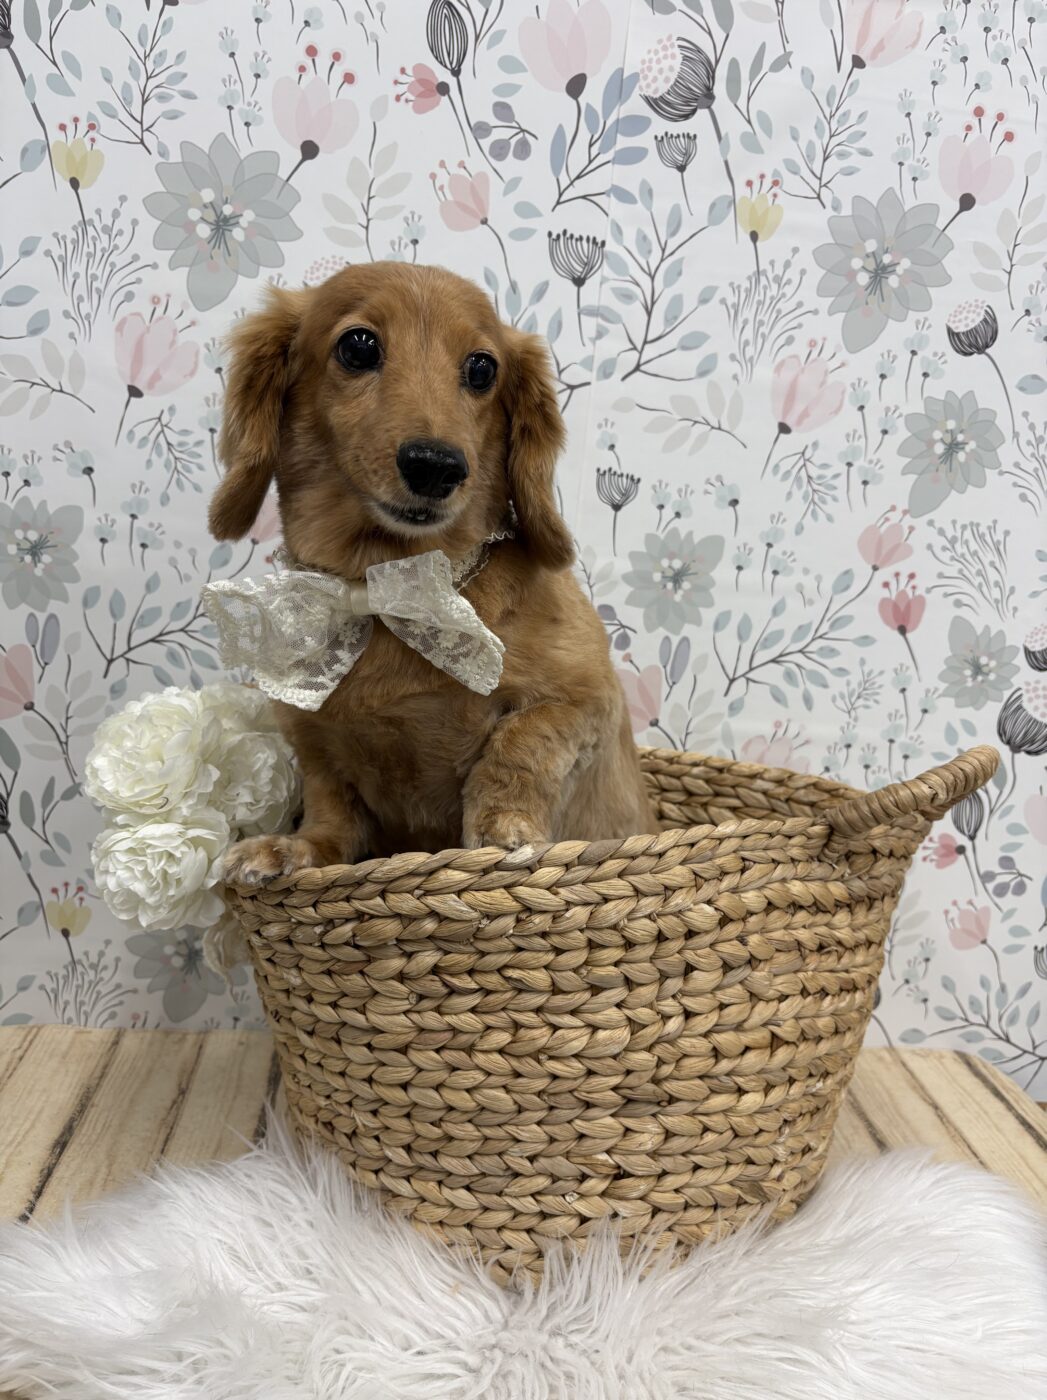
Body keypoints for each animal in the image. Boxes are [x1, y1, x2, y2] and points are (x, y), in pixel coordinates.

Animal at [209, 262, 655, 883]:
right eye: (359, 345)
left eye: (482, 367)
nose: (436, 466)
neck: (383, 583)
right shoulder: (310, 735)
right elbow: (331, 811)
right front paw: (294, 849)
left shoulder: (587, 700)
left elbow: (520, 742)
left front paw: (503, 829)